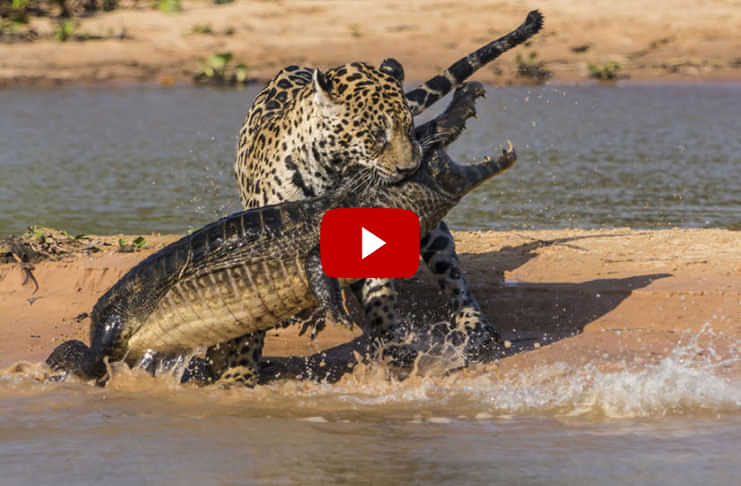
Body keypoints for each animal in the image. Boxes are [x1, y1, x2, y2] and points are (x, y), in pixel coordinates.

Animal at [207, 10, 544, 387]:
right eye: (376, 134)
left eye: (409, 127)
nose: (411, 167)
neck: (331, 173)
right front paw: (238, 375)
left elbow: (379, 296)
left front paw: (395, 350)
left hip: (434, 234)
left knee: (453, 277)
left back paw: (474, 325)